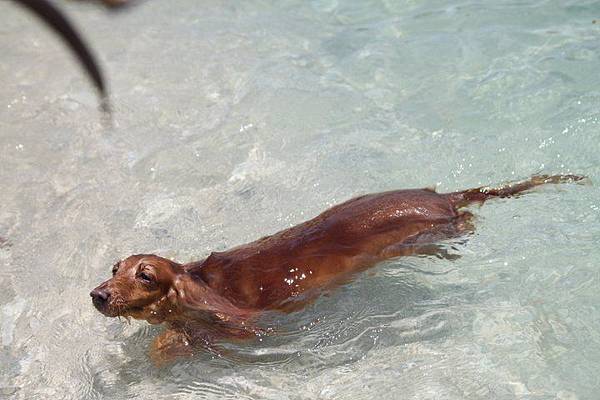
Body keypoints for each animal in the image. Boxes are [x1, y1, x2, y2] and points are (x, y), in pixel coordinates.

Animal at [91, 175, 584, 362]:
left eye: (145, 275)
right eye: (115, 267)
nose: (98, 295)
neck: (204, 281)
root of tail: (441, 195)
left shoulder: (250, 325)